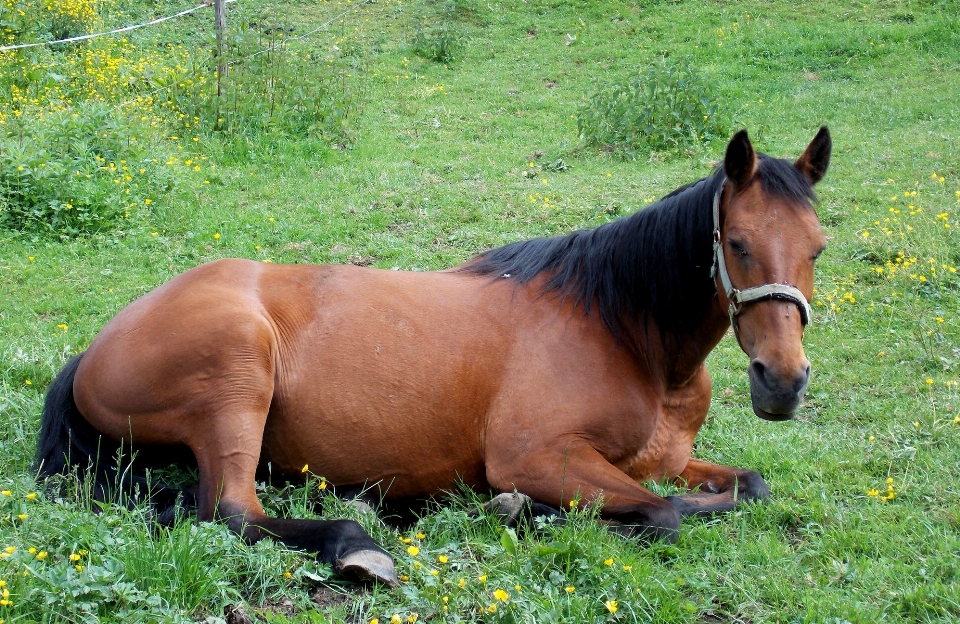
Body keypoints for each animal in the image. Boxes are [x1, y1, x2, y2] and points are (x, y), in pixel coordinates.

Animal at [37, 127, 828, 584]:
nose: (782, 382)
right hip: (238, 375)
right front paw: (522, 512)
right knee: (232, 511)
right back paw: (358, 544)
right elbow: (663, 513)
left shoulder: (663, 460)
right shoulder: (537, 456)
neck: (623, 333)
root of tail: (96, 346)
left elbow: (747, 487)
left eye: (819, 247)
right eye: (737, 243)